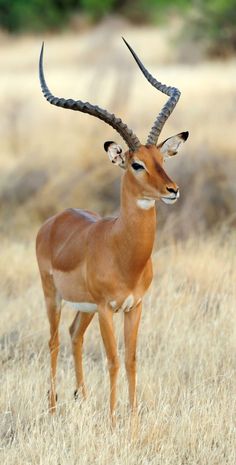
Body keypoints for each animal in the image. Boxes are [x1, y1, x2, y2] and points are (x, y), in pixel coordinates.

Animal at [36, 38, 189, 426]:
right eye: (136, 164)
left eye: (162, 160)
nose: (172, 190)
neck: (124, 252)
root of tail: (54, 220)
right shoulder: (108, 308)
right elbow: (113, 360)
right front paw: (113, 420)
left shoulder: (135, 307)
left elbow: (132, 360)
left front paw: (131, 420)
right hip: (53, 296)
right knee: (54, 341)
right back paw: (54, 408)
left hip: (85, 308)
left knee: (74, 335)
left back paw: (82, 397)